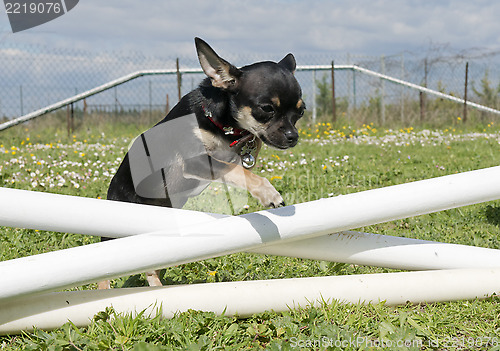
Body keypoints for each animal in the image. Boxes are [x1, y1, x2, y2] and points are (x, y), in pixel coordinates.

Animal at [99, 38, 304, 288]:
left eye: (301, 111)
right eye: (267, 109)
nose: (293, 137)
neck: (222, 124)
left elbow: (242, 161)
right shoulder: (195, 162)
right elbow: (233, 169)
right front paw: (267, 192)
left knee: (151, 269)